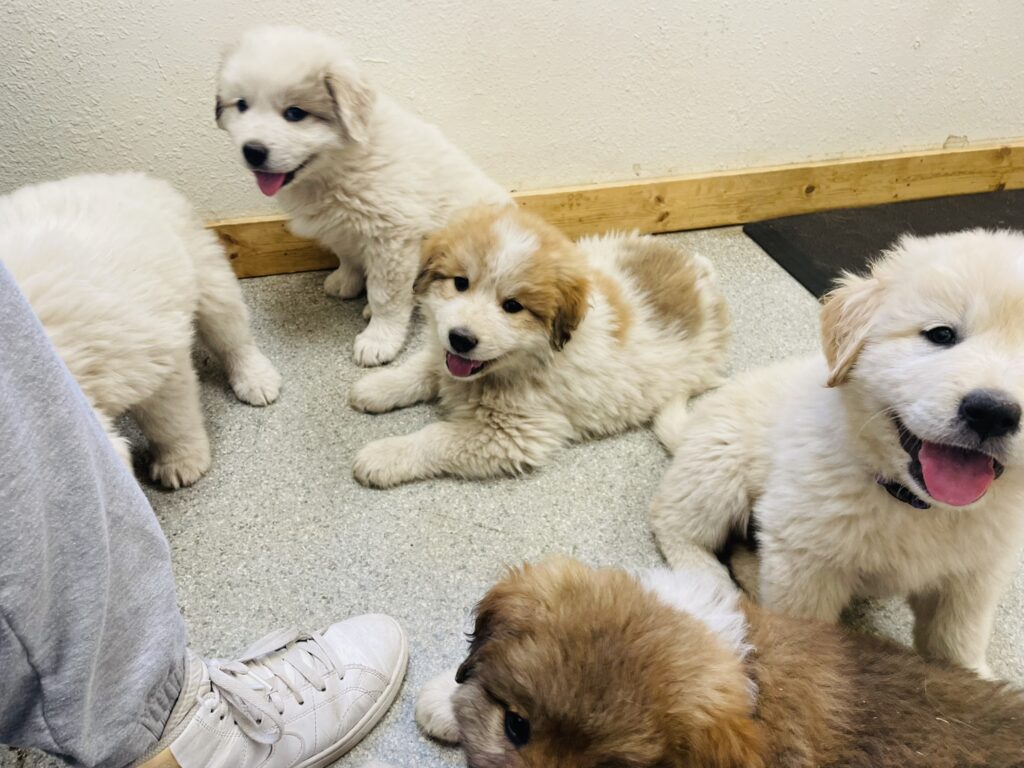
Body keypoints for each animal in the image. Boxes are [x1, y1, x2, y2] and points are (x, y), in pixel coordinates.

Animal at [0, 173, 280, 487]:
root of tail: (133, 176)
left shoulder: (153, 356)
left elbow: (170, 420)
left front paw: (181, 462)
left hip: (209, 278)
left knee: (233, 338)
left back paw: (257, 380)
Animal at [215, 25, 507, 368]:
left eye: (295, 114)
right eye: (242, 105)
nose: (253, 151)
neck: (339, 166)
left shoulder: (392, 238)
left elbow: (386, 297)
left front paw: (379, 340)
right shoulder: (342, 227)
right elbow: (347, 255)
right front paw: (345, 280)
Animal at [350, 205, 729, 487]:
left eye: (512, 306)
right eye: (460, 283)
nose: (461, 338)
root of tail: (699, 272)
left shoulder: (514, 434)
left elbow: (437, 437)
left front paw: (384, 456)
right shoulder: (446, 355)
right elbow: (422, 366)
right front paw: (376, 387)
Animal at [647, 230, 1024, 679]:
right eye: (941, 335)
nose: (993, 412)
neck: (914, 504)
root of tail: (693, 426)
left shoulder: (971, 581)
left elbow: (957, 641)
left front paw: (978, 681)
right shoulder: (804, 561)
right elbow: (804, 629)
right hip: (720, 470)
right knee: (675, 525)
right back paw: (712, 580)